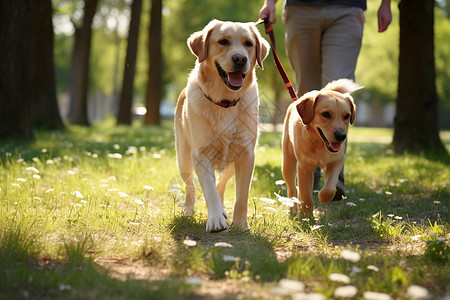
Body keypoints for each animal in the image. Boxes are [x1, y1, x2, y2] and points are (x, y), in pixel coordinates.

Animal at [175, 19, 268, 233]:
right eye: (223, 41)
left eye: (248, 43)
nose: (240, 59)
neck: (225, 102)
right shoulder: (201, 155)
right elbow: (209, 191)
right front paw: (216, 219)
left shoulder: (246, 155)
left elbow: (242, 196)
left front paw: (240, 224)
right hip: (183, 159)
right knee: (190, 186)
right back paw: (188, 211)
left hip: (232, 163)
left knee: (221, 183)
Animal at [284, 79, 364, 216]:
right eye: (325, 114)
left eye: (347, 116)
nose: (341, 136)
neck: (319, 144)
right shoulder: (304, 167)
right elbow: (306, 195)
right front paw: (308, 215)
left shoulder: (337, 161)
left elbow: (330, 187)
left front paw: (323, 197)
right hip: (288, 163)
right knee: (292, 188)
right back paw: (293, 209)